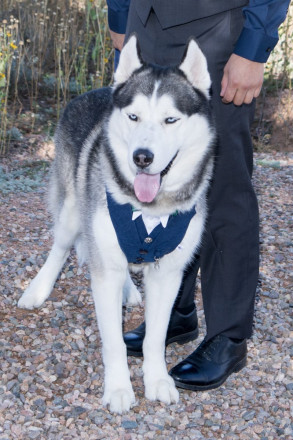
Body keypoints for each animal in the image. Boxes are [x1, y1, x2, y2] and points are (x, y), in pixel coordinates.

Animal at [18, 34, 214, 412]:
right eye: (134, 116)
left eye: (170, 120)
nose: (142, 157)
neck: (148, 211)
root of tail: (93, 91)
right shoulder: (104, 271)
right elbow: (114, 342)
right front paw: (119, 389)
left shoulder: (168, 273)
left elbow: (155, 337)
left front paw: (157, 380)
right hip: (72, 211)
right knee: (60, 247)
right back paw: (37, 289)